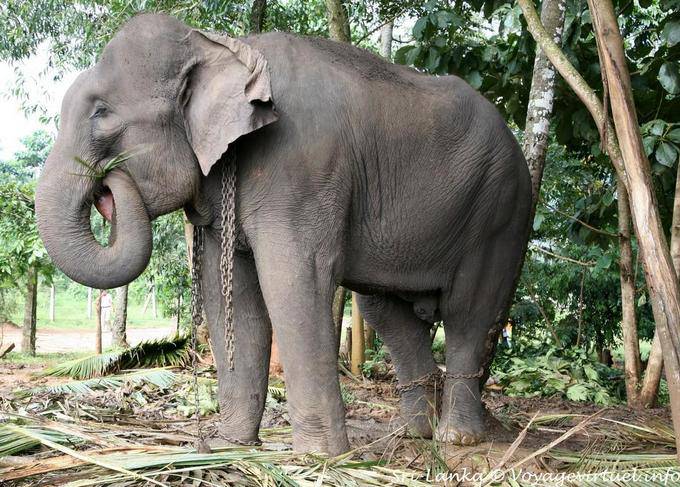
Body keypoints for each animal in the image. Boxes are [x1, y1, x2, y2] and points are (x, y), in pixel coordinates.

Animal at [35, 13, 531, 455]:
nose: (109, 185)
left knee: (469, 309)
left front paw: (320, 458)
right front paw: (230, 445)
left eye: (101, 114)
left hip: (501, 210)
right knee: (387, 313)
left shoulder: (301, 167)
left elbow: (293, 281)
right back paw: (414, 434)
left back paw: (456, 439)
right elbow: (229, 292)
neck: (225, 47)